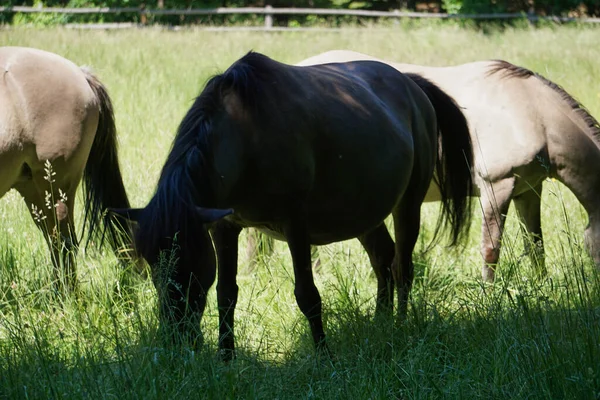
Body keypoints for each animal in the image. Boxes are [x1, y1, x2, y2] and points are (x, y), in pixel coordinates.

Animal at [0, 47, 134, 292]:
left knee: (64, 243)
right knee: (54, 240)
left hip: (57, 187)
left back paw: (66, 297)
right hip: (33, 189)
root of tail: (80, 74)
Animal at [115, 50, 476, 360]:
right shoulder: (224, 226)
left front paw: (324, 356)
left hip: (408, 204)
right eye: (153, 265)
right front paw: (226, 358)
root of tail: (413, 86)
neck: (247, 135)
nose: (176, 337)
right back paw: (380, 323)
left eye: (191, 260)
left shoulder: (295, 225)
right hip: (364, 212)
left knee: (402, 267)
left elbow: (308, 295)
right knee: (382, 257)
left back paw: (398, 326)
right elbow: (226, 294)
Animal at [298, 50, 600, 282]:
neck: (532, 112)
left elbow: (536, 245)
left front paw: (542, 288)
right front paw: (490, 296)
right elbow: (491, 250)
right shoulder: (496, 188)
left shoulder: (528, 191)